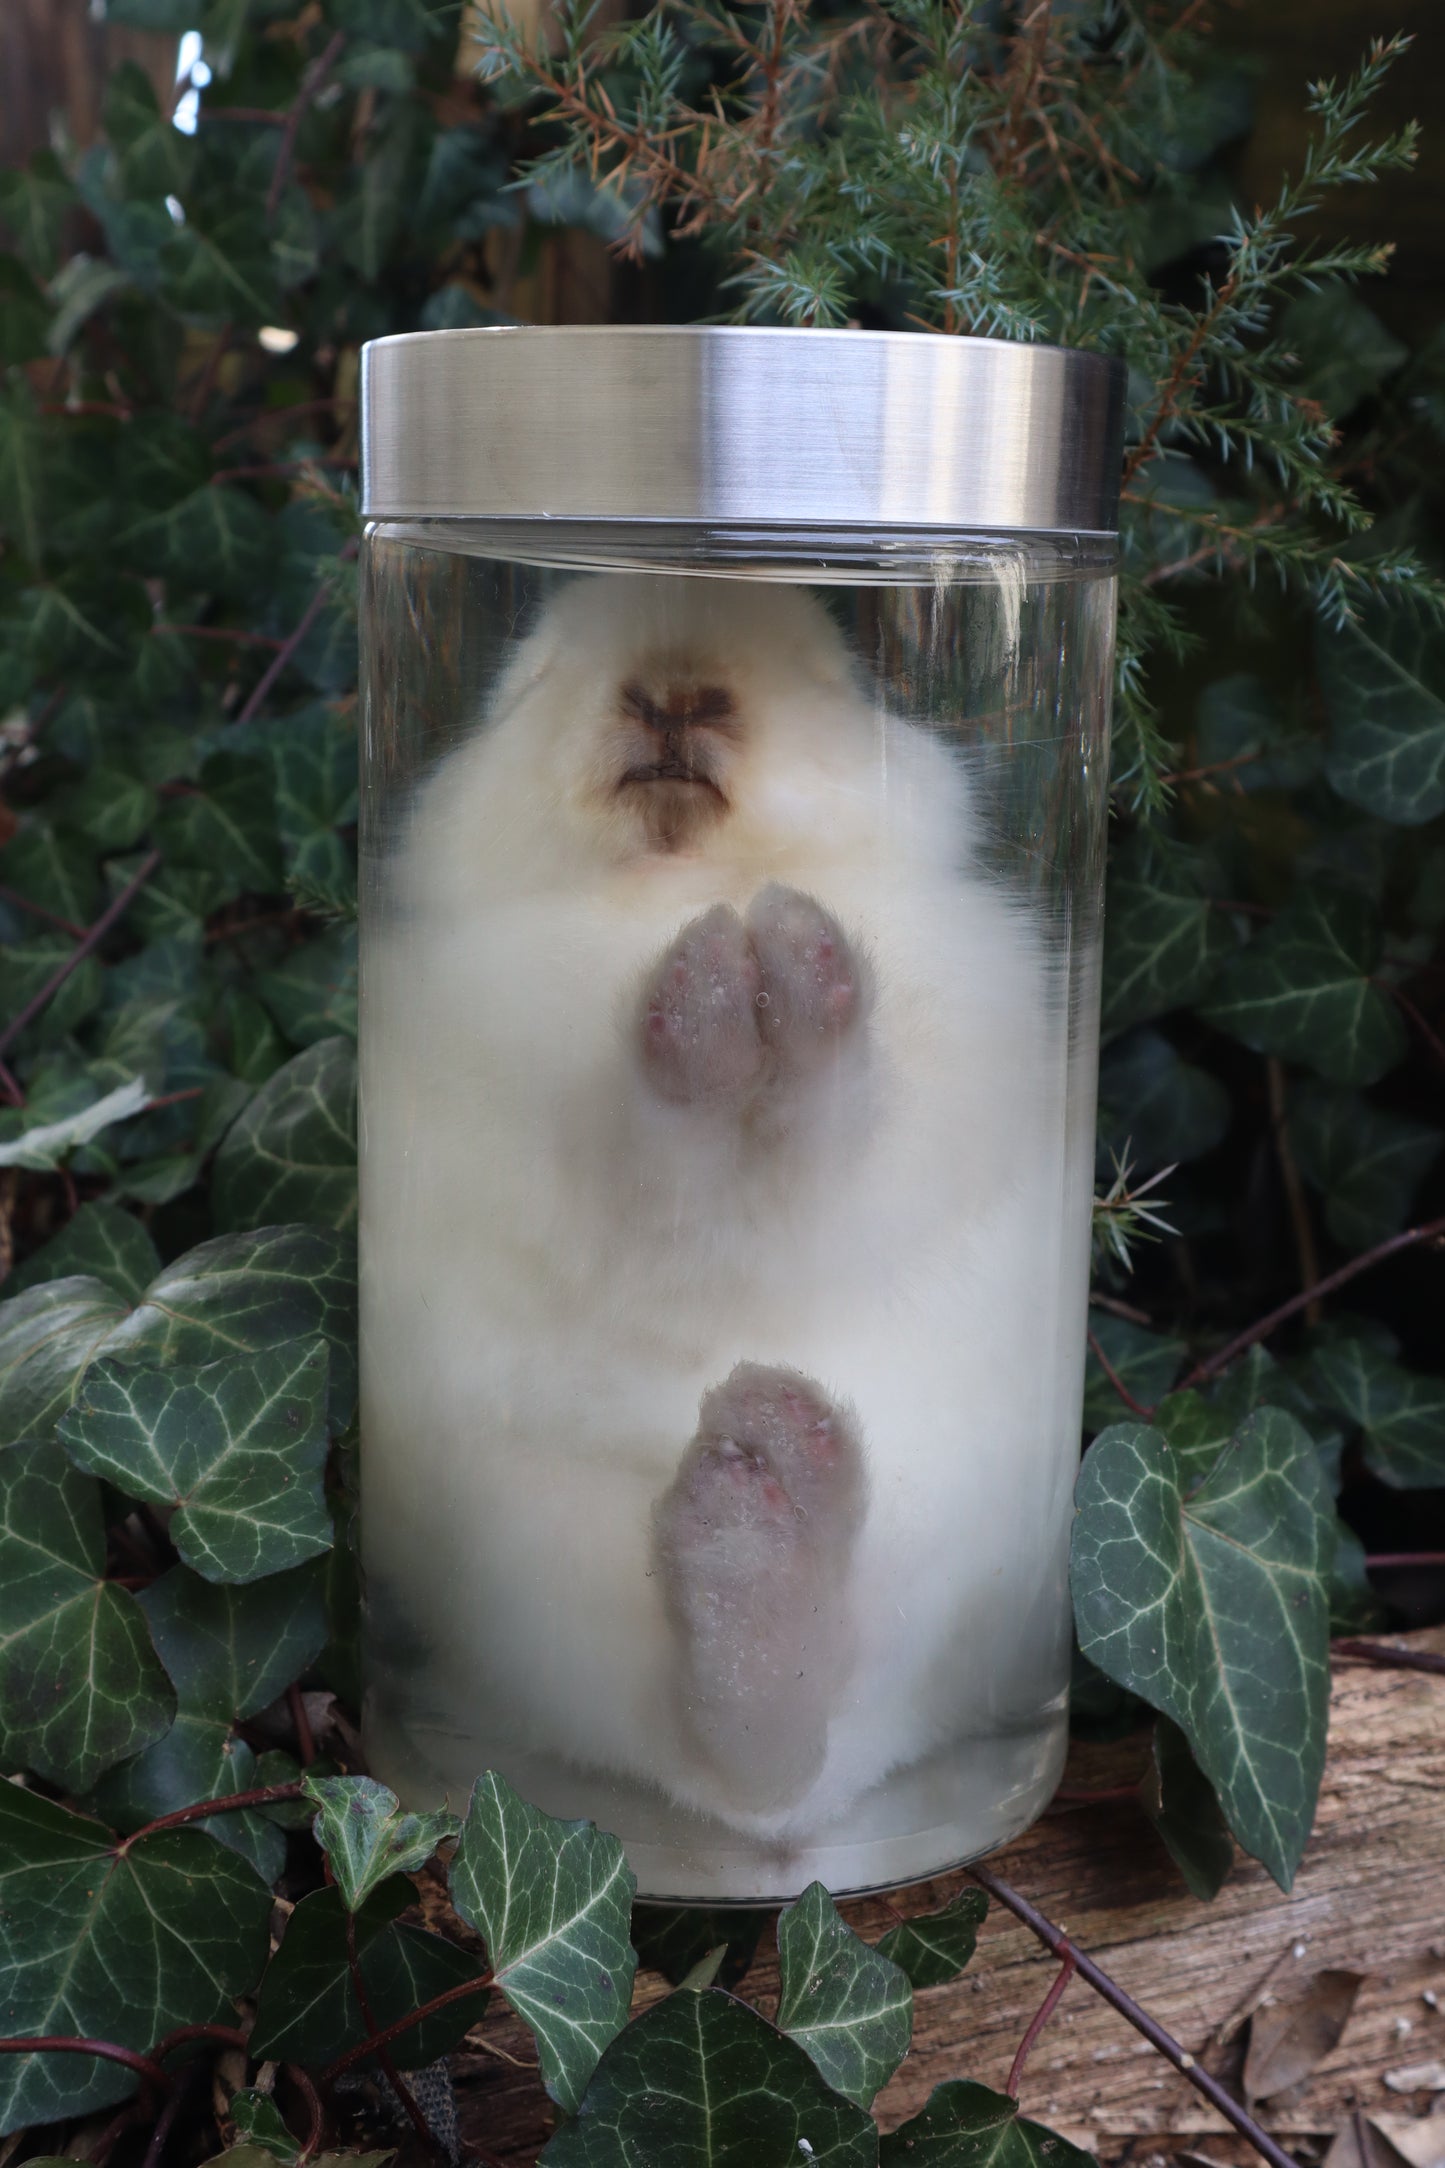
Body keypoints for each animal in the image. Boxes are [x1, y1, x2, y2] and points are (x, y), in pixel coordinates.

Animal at [360, 570, 1088, 1846]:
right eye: (535, 674)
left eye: (826, 674)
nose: (672, 692)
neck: (678, 877)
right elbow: (658, 1161)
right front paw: (706, 996)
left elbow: (828, 1127)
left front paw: (792, 961)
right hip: (519, 1557)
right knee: (703, 1731)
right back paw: (744, 1556)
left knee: (805, 1716)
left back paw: (766, 1526)